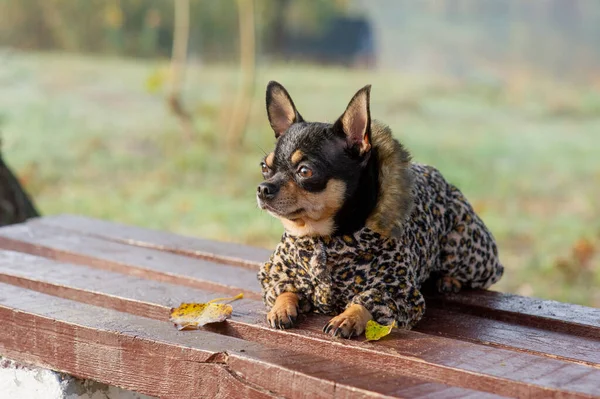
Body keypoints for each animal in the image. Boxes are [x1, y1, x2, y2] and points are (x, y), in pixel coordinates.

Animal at [255, 81, 504, 338]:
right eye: (264, 167)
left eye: (305, 171)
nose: (263, 188)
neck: (322, 237)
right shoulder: (276, 273)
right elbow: (285, 288)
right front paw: (281, 308)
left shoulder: (399, 294)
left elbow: (369, 302)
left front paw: (348, 317)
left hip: (462, 251)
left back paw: (449, 280)